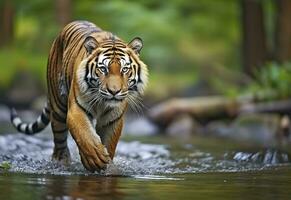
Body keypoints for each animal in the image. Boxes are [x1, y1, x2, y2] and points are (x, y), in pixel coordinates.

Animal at [10, 21, 149, 173]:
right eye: (103, 69)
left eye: (125, 69)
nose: (114, 91)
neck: (101, 102)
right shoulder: (76, 109)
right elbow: (84, 134)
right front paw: (95, 158)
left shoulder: (112, 119)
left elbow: (108, 143)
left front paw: (107, 167)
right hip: (58, 108)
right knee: (59, 141)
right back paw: (61, 162)